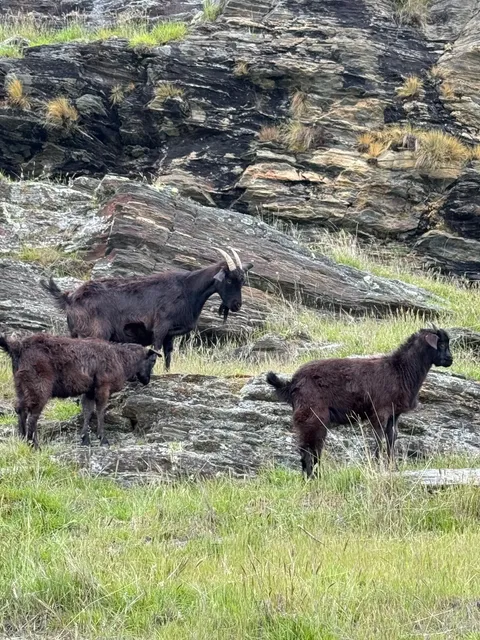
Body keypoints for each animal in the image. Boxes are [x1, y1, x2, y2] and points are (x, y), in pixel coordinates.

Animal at [0, 333, 158, 449]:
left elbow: (87, 412)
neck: (123, 359)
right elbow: (100, 411)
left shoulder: (89, 390)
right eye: (153, 360)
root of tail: (18, 347)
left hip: (21, 385)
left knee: (20, 409)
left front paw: (85, 439)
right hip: (38, 385)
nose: (147, 381)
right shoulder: (103, 386)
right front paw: (103, 439)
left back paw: (22, 440)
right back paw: (34, 445)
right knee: (33, 415)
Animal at [41, 247, 253, 371]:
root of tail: (70, 298)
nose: (237, 305)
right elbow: (156, 351)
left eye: (242, 280)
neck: (188, 289)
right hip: (95, 334)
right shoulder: (160, 328)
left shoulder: (170, 335)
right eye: (229, 279)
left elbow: (168, 356)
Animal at [267, 328, 453, 477]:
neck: (400, 370)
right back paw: (312, 477)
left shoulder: (394, 415)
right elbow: (379, 439)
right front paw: (378, 467)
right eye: (442, 344)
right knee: (309, 448)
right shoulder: (380, 412)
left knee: (311, 448)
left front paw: (392, 468)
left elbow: (391, 439)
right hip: (311, 415)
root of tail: (292, 383)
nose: (450, 359)